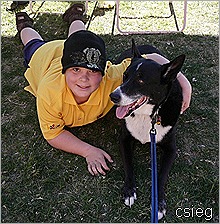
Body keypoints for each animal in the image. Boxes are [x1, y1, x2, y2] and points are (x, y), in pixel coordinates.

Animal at [110, 39, 186, 220]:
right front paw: (129, 191)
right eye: (125, 76)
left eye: (141, 81)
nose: (113, 97)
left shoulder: (171, 149)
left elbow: (161, 176)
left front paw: (159, 204)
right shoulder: (124, 140)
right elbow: (128, 164)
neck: (148, 115)